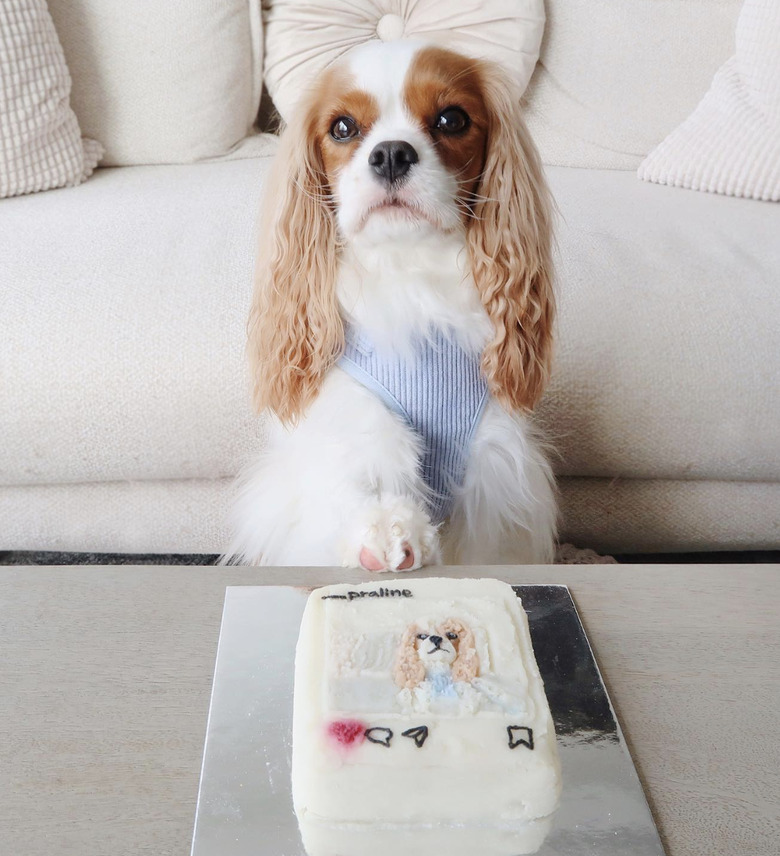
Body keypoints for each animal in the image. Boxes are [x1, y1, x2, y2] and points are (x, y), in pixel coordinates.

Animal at [224, 38, 556, 568]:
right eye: (342, 127)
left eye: (451, 119)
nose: (392, 153)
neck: (409, 273)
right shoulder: (352, 422)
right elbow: (368, 475)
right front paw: (386, 529)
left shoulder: (494, 470)